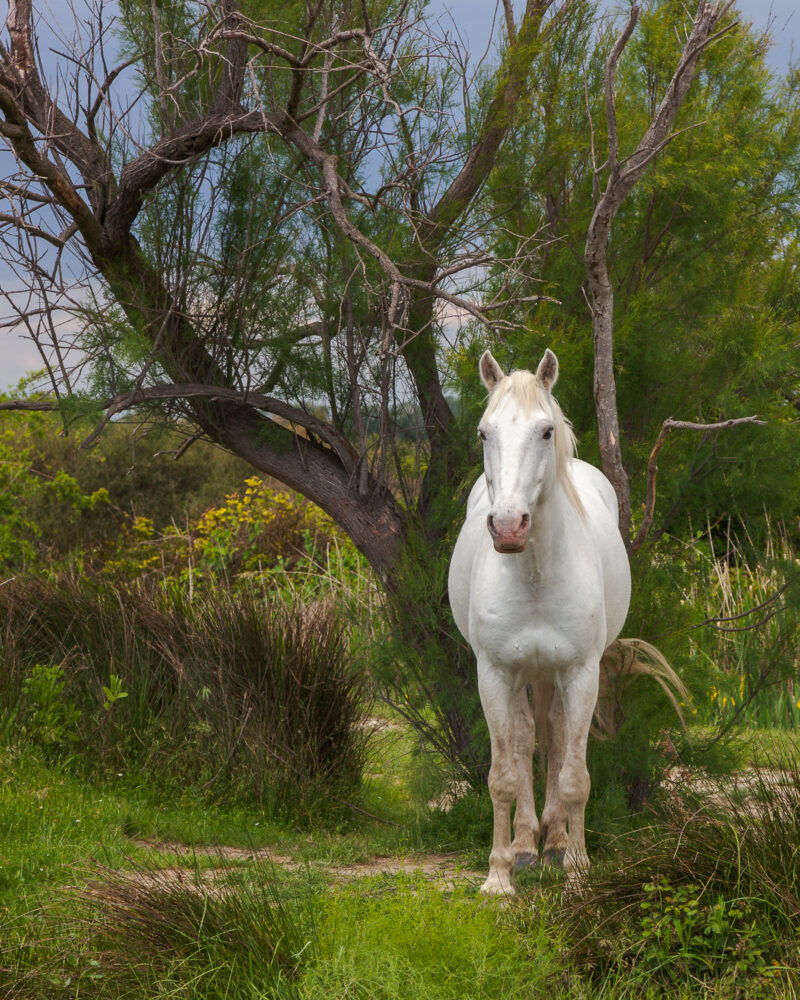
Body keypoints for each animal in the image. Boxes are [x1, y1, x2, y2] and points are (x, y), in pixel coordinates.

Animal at [450, 348, 632, 896]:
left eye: (546, 431)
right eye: (484, 433)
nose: (509, 526)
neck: (533, 574)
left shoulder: (581, 674)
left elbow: (574, 776)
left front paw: (578, 870)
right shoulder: (493, 675)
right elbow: (503, 775)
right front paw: (499, 877)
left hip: (554, 675)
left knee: (552, 736)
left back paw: (554, 842)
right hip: (525, 674)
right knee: (528, 738)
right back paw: (529, 844)